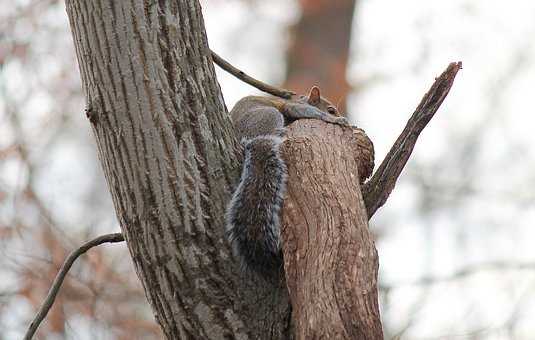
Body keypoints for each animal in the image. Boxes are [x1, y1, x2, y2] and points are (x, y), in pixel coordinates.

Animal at [225, 86, 348, 278]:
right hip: (269, 115)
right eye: (331, 110)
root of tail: (246, 140)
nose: (337, 114)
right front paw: (335, 120)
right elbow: (307, 112)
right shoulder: (293, 107)